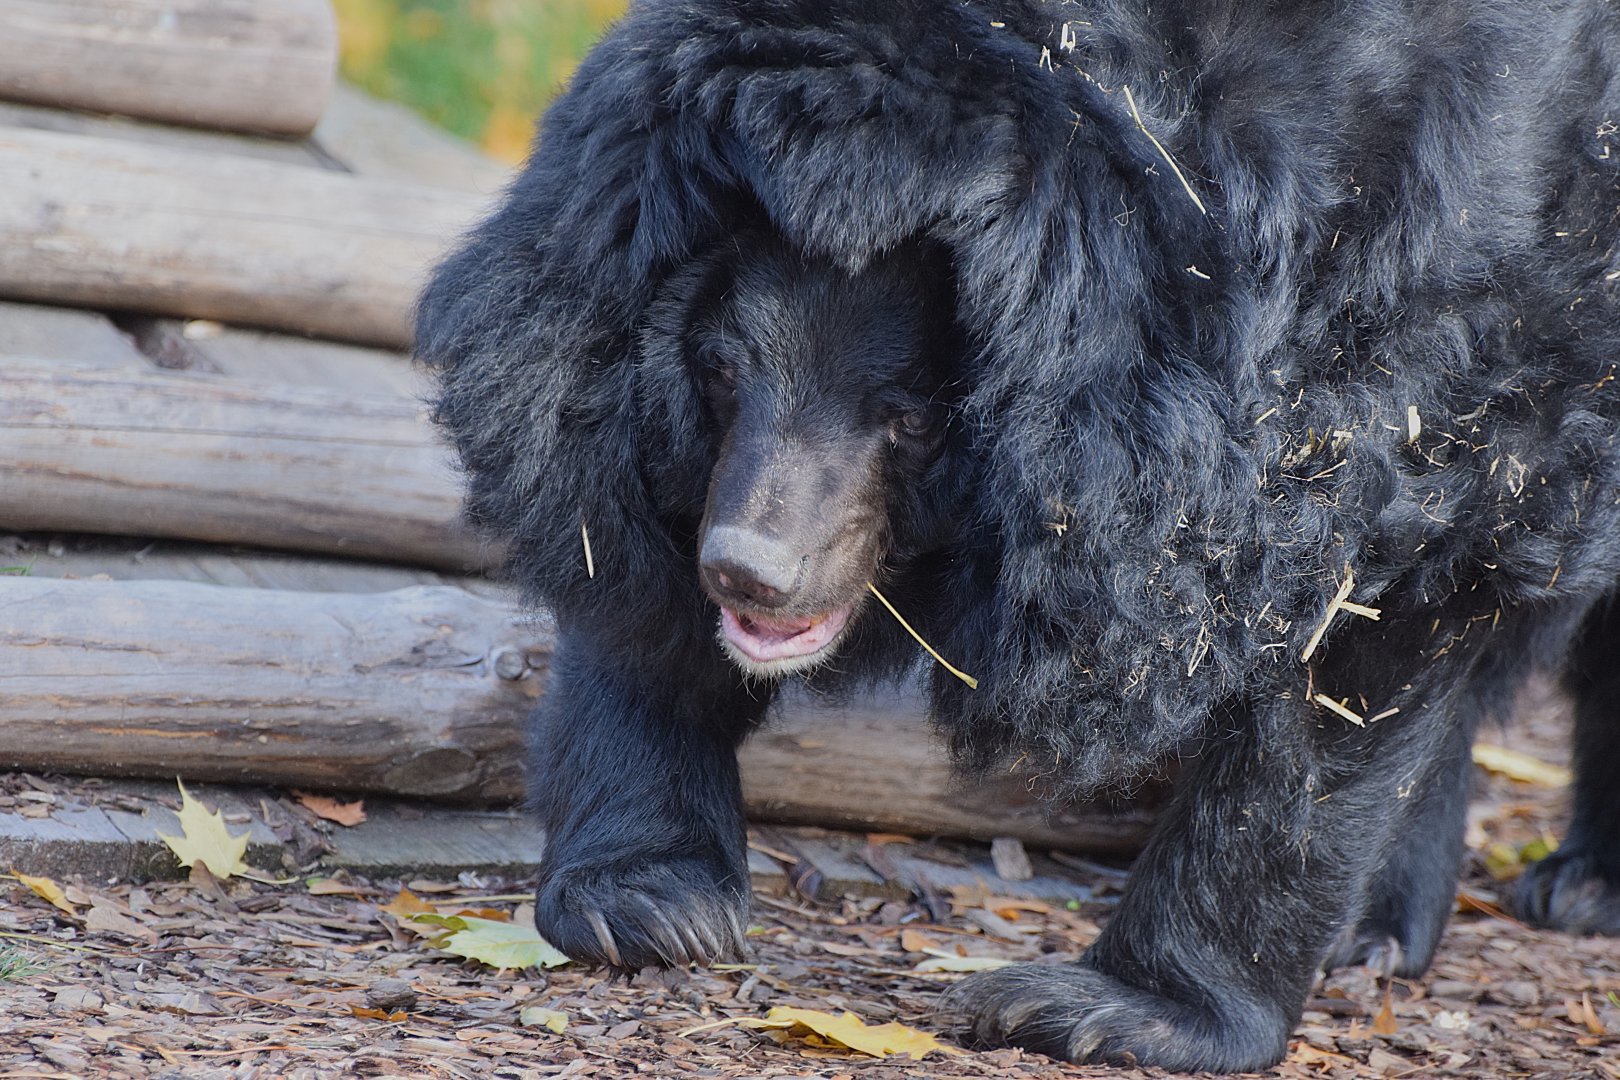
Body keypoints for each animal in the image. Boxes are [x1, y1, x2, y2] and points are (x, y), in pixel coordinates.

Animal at [416, 0, 1620, 1071]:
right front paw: (646, 897)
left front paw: (1116, 1012)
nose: (751, 573)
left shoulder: (1441, 341)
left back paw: (1572, 886)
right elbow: (622, 563)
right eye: (719, 370)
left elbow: (1351, 646)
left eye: (910, 417)